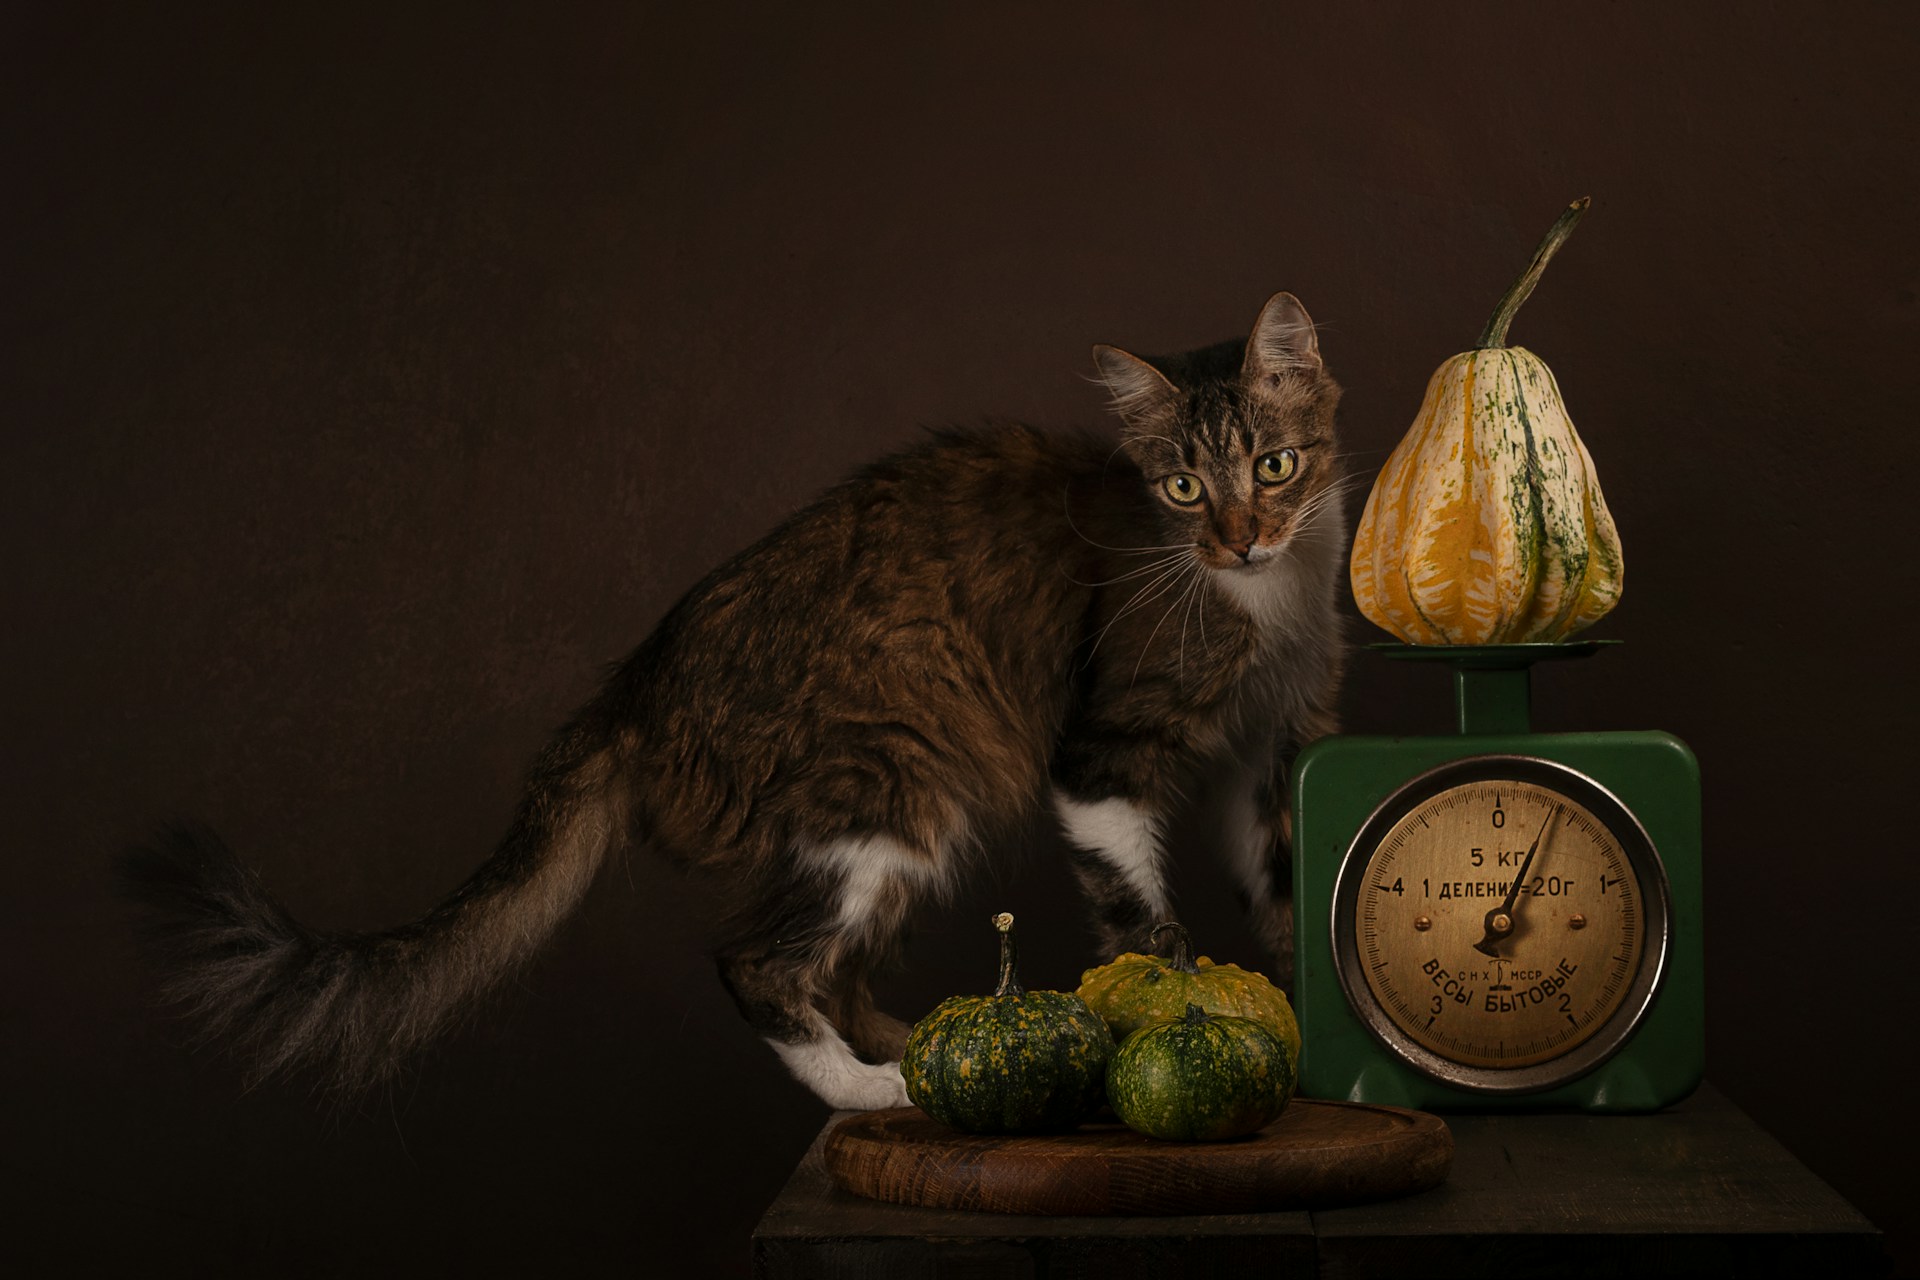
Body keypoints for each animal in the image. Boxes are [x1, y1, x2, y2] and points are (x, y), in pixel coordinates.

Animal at [120, 289, 1351, 1113]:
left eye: (1275, 468)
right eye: (1182, 487)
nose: (1239, 538)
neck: (1271, 598)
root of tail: (635, 678)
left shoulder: (1275, 747)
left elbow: (1285, 885)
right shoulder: (1103, 754)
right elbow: (1147, 929)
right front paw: (1179, 1010)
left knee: (833, 968)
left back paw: (911, 1044)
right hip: (888, 786)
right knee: (757, 965)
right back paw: (877, 1090)